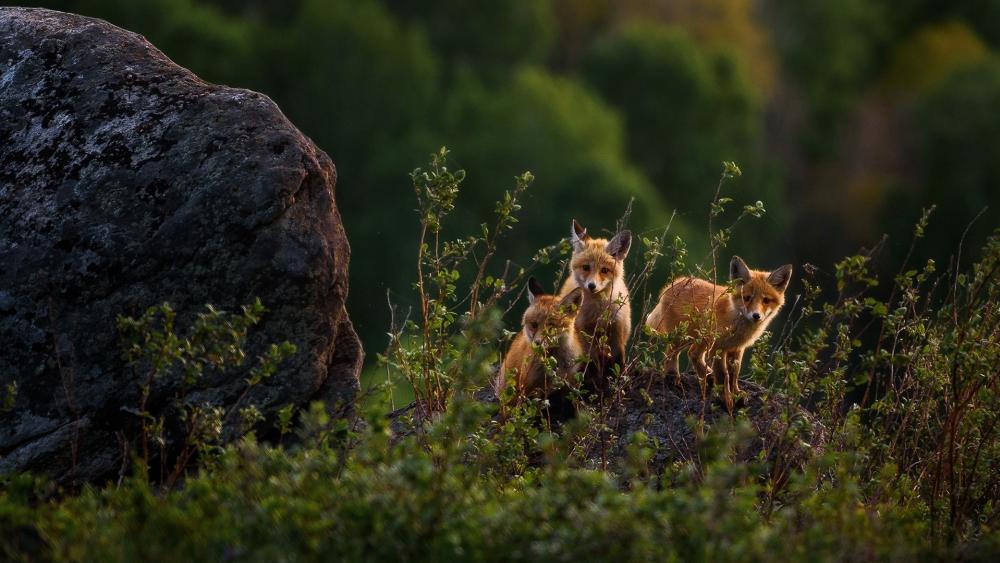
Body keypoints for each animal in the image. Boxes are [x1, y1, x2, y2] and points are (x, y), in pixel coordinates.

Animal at [558, 220, 632, 396]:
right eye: (586, 267)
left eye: (604, 270)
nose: (592, 286)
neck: (598, 312)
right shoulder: (584, 331)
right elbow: (591, 363)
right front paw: (594, 384)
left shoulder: (617, 328)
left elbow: (617, 361)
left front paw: (616, 382)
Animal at [645, 256, 792, 411]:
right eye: (747, 298)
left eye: (766, 300)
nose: (756, 316)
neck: (735, 321)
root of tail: (674, 283)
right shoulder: (718, 347)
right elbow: (723, 376)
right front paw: (726, 399)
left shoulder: (736, 348)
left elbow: (734, 374)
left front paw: (736, 393)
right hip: (684, 337)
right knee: (671, 352)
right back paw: (672, 376)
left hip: (702, 339)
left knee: (693, 354)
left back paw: (708, 376)